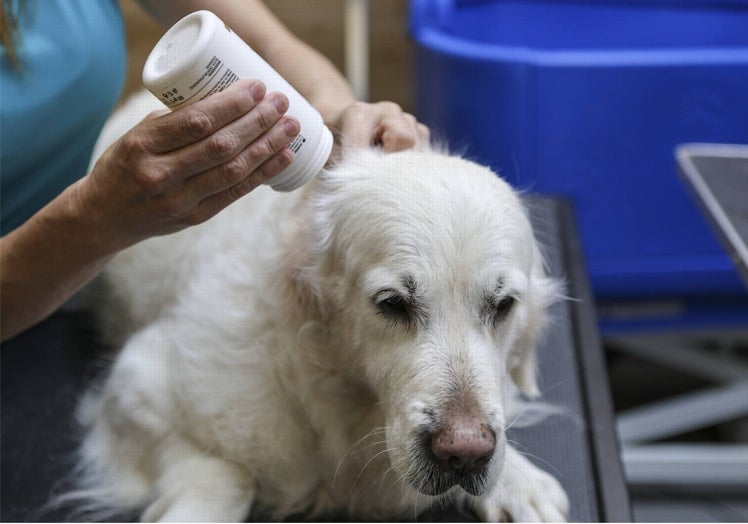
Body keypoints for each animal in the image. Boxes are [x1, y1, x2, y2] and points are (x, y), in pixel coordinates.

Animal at [73, 93, 568, 520]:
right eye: (392, 303)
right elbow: (222, 473)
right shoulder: (140, 381)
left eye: (503, 305)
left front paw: (517, 481)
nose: (464, 453)